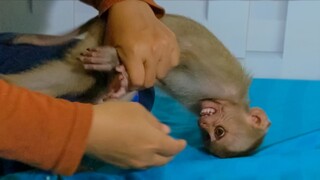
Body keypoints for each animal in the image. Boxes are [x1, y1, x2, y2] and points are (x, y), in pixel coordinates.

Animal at [0, 14, 270, 158]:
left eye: (213, 134)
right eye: (219, 131)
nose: (204, 123)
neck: (232, 101)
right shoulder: (221, 82)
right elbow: (178, 52)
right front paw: (115, 62)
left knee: (76, 76)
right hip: (108, 30)